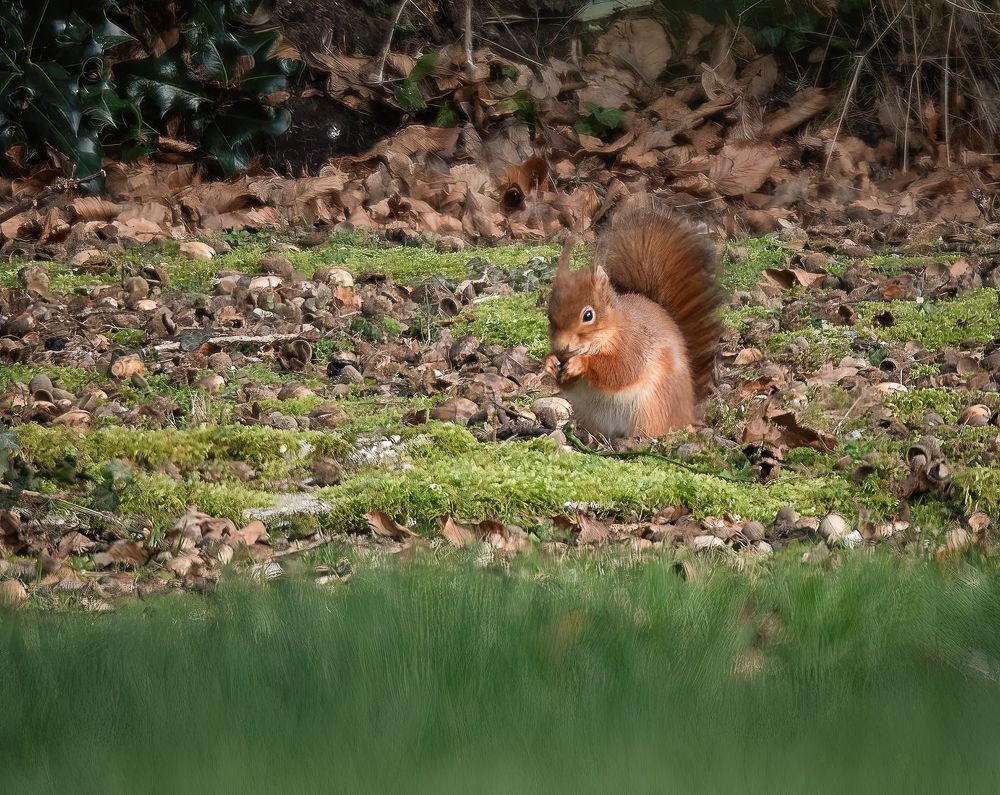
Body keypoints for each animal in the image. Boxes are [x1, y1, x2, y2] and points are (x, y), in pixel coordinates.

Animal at [544, 196, 721, 439]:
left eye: (588, 315)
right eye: (549, 313)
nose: (561, 348)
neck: (610, 331)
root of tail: (687, 413)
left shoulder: (633, 344)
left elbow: (621, 371)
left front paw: (582, 363)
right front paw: (549, 362)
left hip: (651, 409)